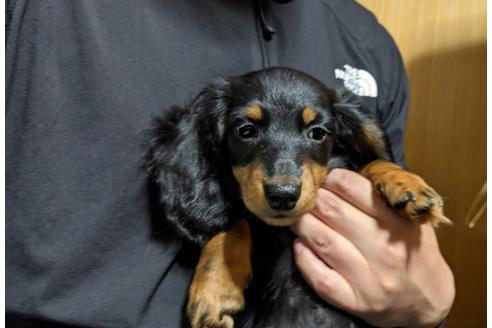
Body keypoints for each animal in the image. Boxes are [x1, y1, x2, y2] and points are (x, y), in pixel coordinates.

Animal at [147, 67, 450, 328]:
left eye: (317, 133)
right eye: (246, 130)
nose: (283, 196)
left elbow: (372, 163)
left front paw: (405, 184)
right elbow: (234, 219)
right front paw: (216, 288)